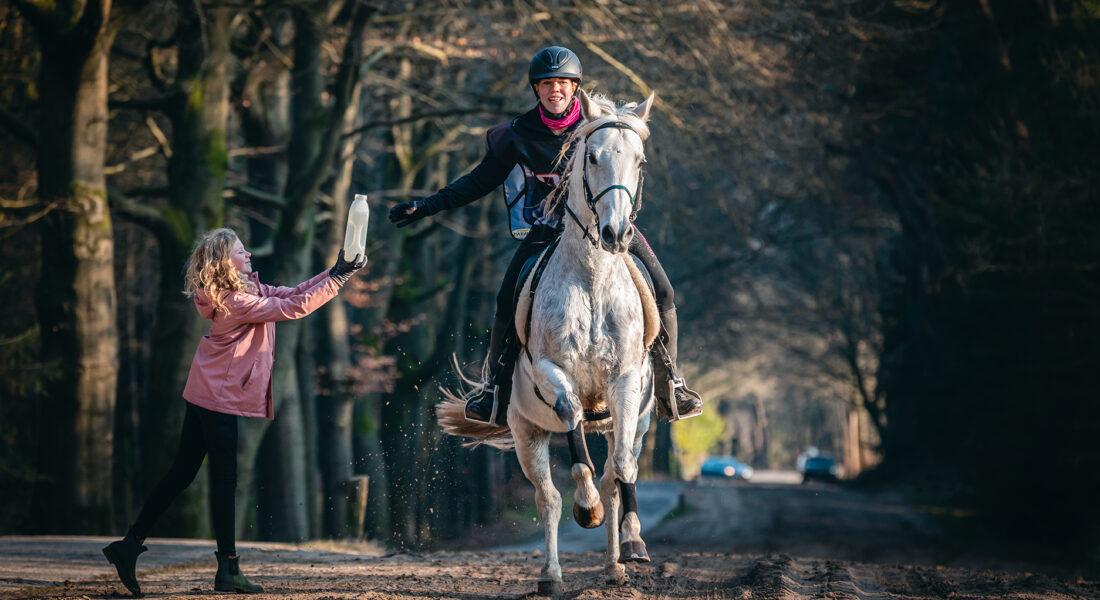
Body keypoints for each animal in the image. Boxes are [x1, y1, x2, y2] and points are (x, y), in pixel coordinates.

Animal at [440, 91, 660, 590]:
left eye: (638, 161)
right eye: (593, 157)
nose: (615, 234)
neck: (593, 280)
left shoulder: (625, 383)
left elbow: (621, 468)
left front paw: (634, 546)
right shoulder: (552, 373)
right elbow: (575, 438)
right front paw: (587, 508)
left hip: (633, 420)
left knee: (617, 477)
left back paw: (615, 566)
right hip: (526, 433)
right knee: (548, 499)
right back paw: (552, 574)